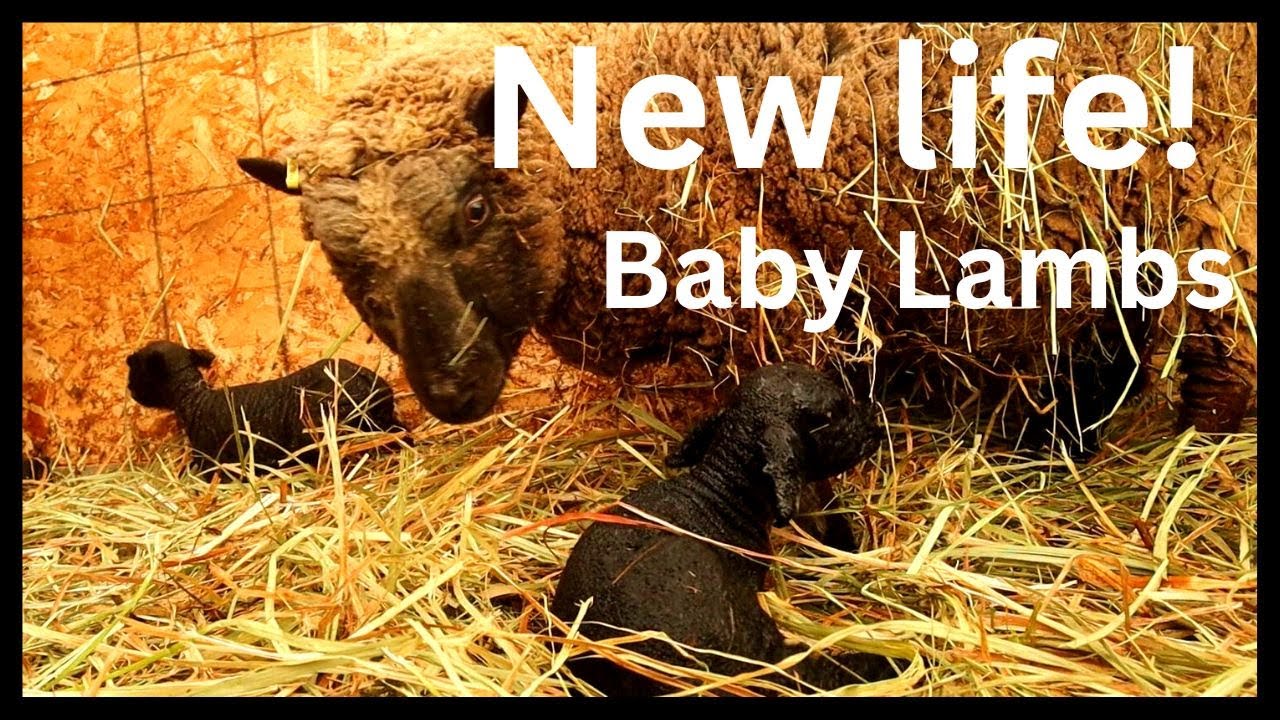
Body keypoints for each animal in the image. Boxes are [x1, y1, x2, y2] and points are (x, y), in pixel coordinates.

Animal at [126, 340, 401, 475]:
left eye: (137, 370)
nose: (129, 390)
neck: (193, 400)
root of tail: (371, 381)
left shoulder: (211, 463)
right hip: (386, 425)